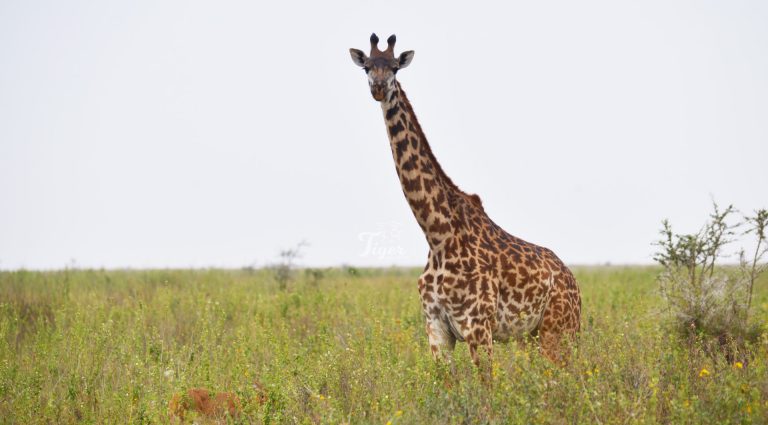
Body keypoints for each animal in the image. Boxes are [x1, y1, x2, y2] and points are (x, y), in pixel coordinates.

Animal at [349, 34, 581, 367]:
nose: (378, 88)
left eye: (394, 67)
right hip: (532, 335)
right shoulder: (436, 330)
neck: (437, 234)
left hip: (560, 330)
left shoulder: (478, 326)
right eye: (367, 66)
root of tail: (574, 283)